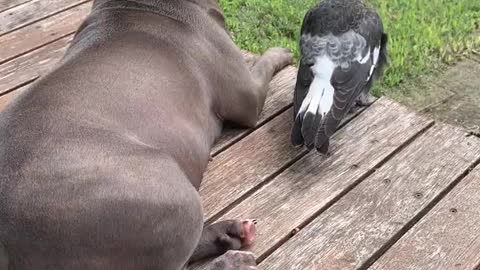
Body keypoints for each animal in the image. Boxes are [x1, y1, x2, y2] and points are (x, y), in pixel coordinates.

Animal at [0, 0, 292, 270]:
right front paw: (284, 52)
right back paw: (232, 260)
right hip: (172, 193)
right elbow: (263, 61)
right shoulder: (249, 97)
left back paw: (231, 232)